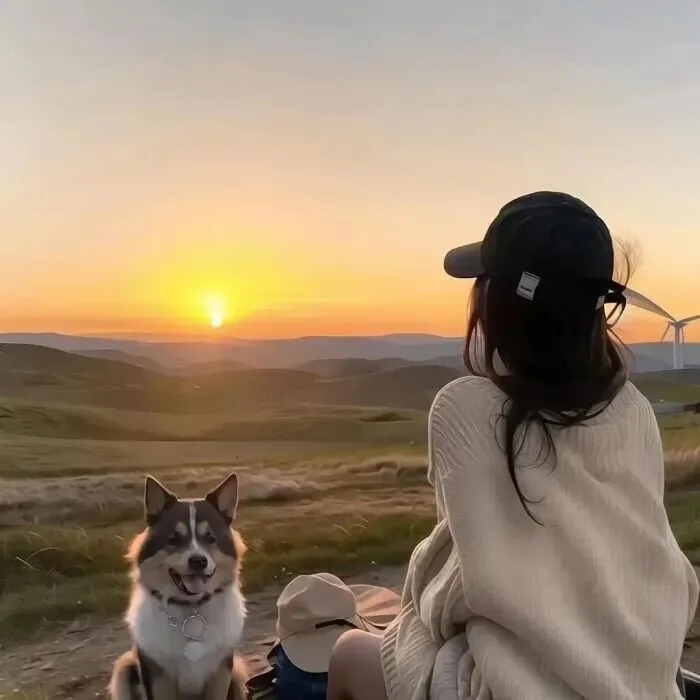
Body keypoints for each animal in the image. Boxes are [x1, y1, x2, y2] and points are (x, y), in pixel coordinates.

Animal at [109, 472, 248, 700]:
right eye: (173, 539)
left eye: (210, 538)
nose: (198, 561)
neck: (190, 609)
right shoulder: (157, 676)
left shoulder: (221, 671)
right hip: (125, 665)